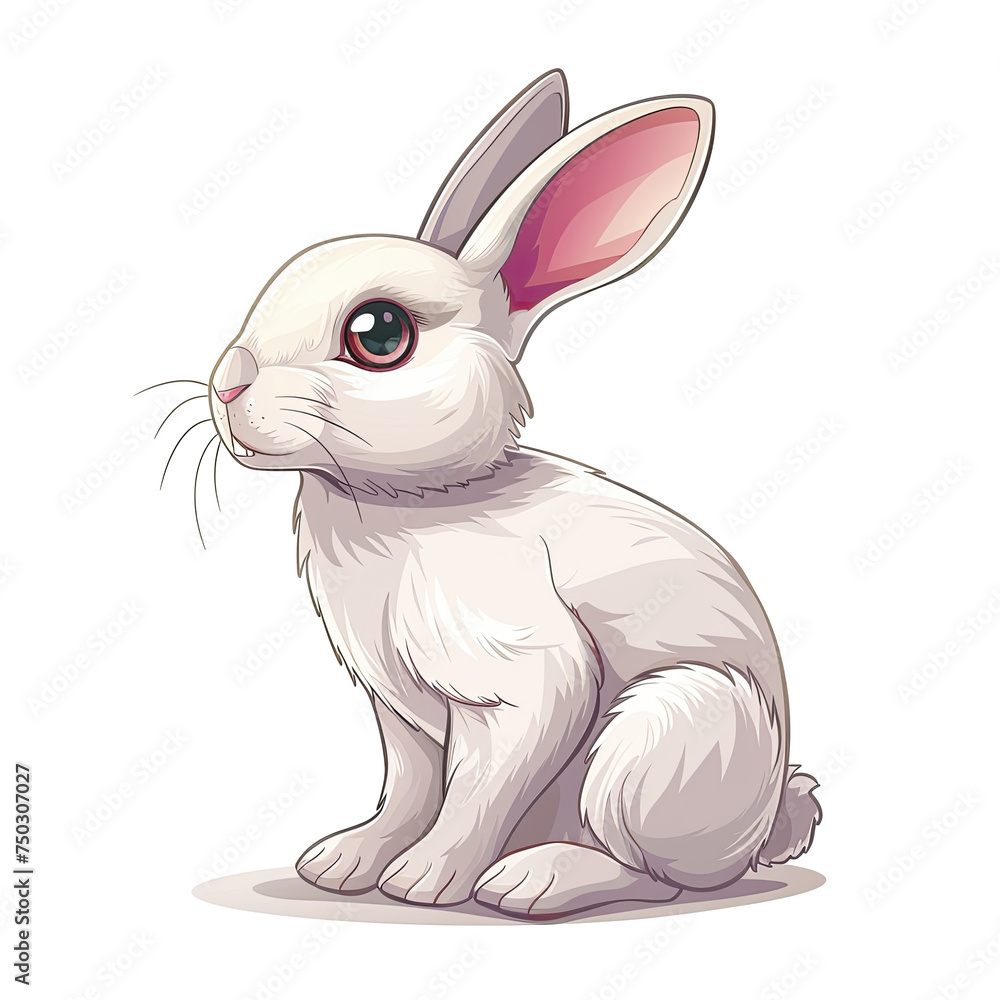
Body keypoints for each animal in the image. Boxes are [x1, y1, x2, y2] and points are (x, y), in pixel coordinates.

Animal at [203, 69, 821, 920]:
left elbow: (477, 794)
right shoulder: (399, 712)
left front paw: (426, 881)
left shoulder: (526, 686)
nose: (226, 385)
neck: (421, 500)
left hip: (669, 729)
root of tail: (763, 827)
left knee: (661, 875)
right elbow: (408, 790)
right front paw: (344, 863)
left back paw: (535, 880)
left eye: (379, 334)